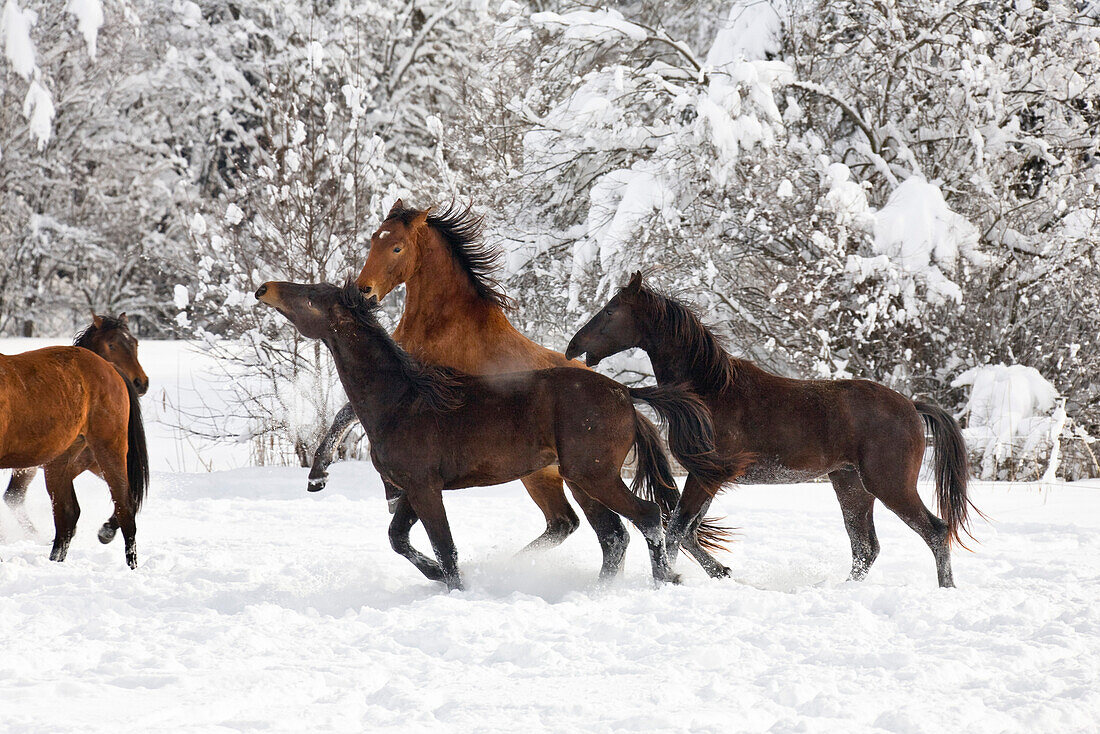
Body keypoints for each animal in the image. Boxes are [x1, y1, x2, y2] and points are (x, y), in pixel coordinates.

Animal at [0, 321, 149, 567]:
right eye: (111, 344)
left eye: (136, 344)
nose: (141, 383)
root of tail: (109, 368)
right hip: (58, 462)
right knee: (65, 514)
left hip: (108, 451)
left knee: (125, 507)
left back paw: (131, 566)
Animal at [310, 201, 734, 572]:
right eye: (372, 240)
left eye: (396, 246)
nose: (363, 293)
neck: (446, 328)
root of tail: (624, 396)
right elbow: (345, 413)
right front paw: (327, 474)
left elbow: (347, 412)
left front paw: (323, 474)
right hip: (561, 476)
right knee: (584, 525)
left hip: (562, 475)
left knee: (608, 523)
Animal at [567, 272, 981, 589]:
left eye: (610, 310)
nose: (574, 346)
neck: (708, 391)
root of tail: (912, 406)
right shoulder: (709, 478)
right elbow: (687, 531)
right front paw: (721, 573)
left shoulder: (707, 474)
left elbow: (677, 532)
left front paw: (678, 577)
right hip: (851, 484)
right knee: (866, 548)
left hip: (889, 483)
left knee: (935, 531)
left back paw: (946, 588)